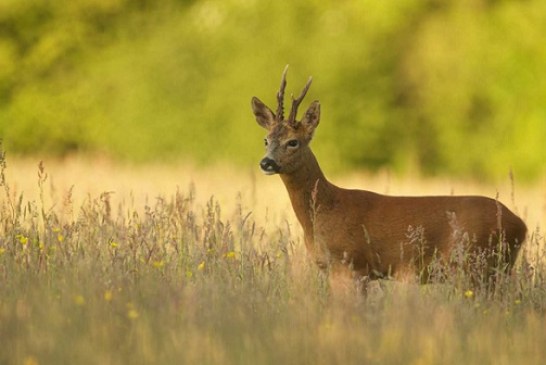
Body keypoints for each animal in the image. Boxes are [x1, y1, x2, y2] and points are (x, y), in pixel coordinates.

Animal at [250, 66, 524, 290]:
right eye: (266, 140)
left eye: (293, 142)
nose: (266, 162)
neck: (326, 209)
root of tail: (521, 224)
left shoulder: (352, 265)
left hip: (475, 264)